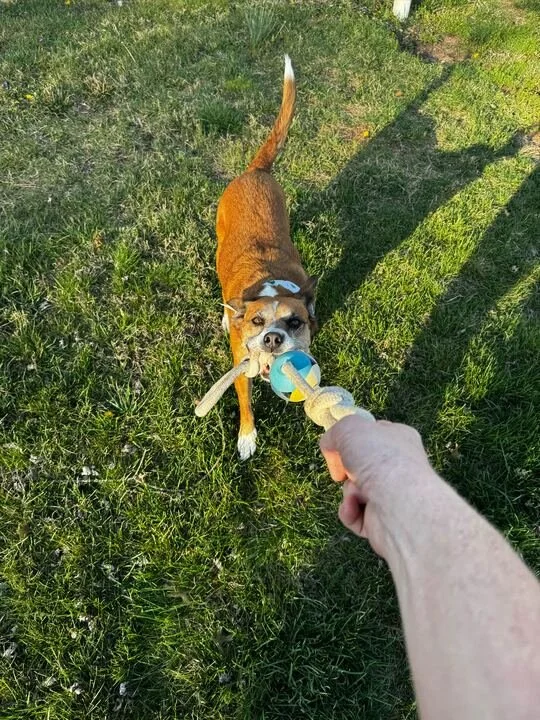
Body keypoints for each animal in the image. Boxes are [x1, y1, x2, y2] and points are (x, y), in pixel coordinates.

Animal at [216, 55, 317, 460]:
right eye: (257, 322)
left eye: (296, 322)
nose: (273, 339)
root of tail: (256, 170)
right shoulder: (240, 370)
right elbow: (245, 403)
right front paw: (247, 437)